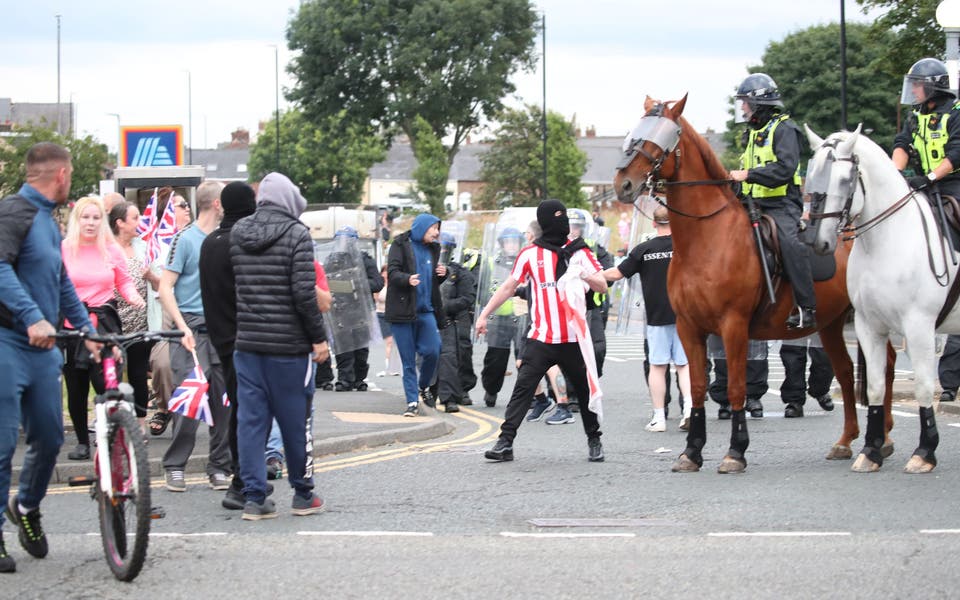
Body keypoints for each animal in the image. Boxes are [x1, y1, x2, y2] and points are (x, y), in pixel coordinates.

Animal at [612, 96, 896, 474]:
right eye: (635, 132)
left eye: (660, 138)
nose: (623, 184)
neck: (706, 239)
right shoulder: (689, 327)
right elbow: (697, 387)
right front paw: (692, 452)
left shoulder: (733, 326)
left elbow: (736, 388)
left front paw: (735, 451)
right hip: (832, 323)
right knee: (847, 372)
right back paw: (846, 440)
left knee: (886, 365)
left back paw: (884, 438)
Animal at [804, 125, 960, 474]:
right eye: (810, 173)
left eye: (844, 179)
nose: (817, 241)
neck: (888, 240)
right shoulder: (869, 325)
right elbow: (874, 385)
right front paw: (871, 451)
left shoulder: (918, 327)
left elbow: (923, 386)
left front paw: (924, 452)